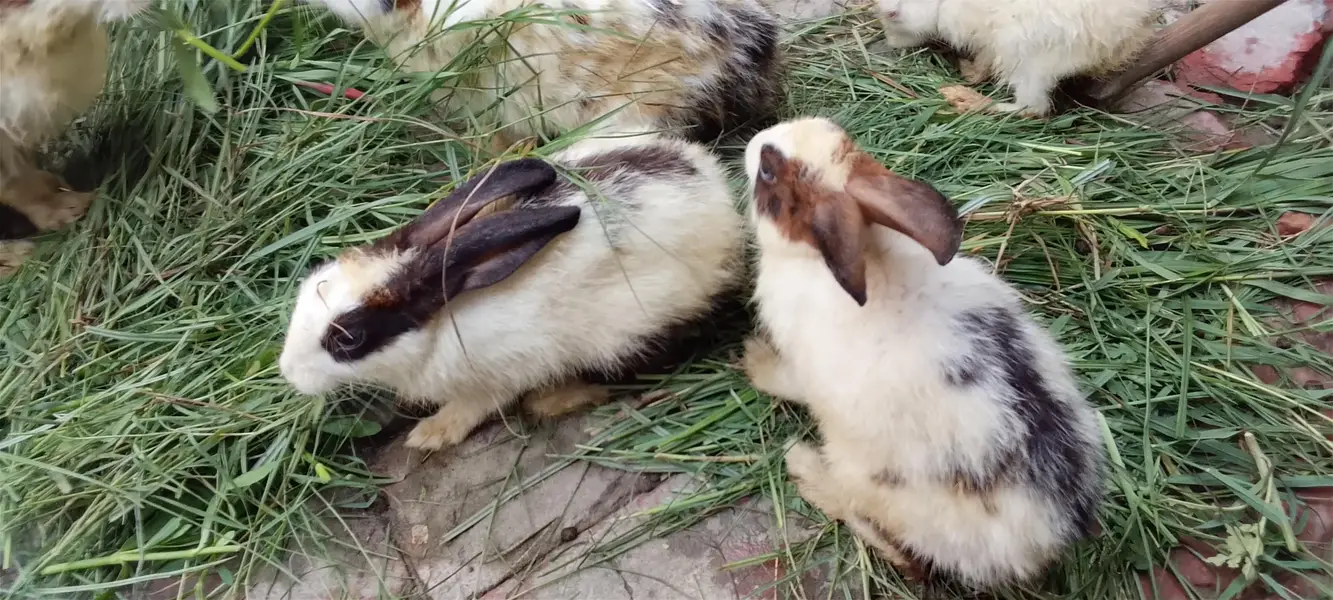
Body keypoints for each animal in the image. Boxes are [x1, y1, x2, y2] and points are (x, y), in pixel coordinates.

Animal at [278, 134, 745, 450]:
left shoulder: (500, 374)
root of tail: (719, 196)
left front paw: (429, 434)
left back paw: (555, 400)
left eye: (349, 338)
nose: (288, 372)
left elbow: (474, 407)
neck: (440, 322)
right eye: (311, 285)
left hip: (631, 331)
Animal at [739, 117, 1105, 587]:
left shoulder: (803, 369)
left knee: (900, 553)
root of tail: (1048, 542)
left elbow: (784, 380)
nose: (754, 142)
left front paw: (753, 359)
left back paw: (803, 464)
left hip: (870, 481)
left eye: (768, 171)